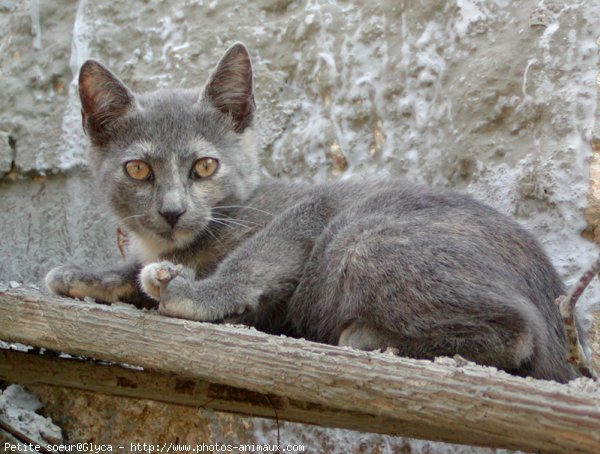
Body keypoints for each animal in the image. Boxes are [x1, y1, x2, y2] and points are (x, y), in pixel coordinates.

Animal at [47, 42, 580, 384]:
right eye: (138, 169)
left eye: (204, 166)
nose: (173, 210)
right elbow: (132, 269)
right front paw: (88, 276)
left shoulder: (308, 207)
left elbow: (252, 257)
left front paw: (192, 292)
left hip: (362, 240)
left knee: (518, 333)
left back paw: (365, 335)